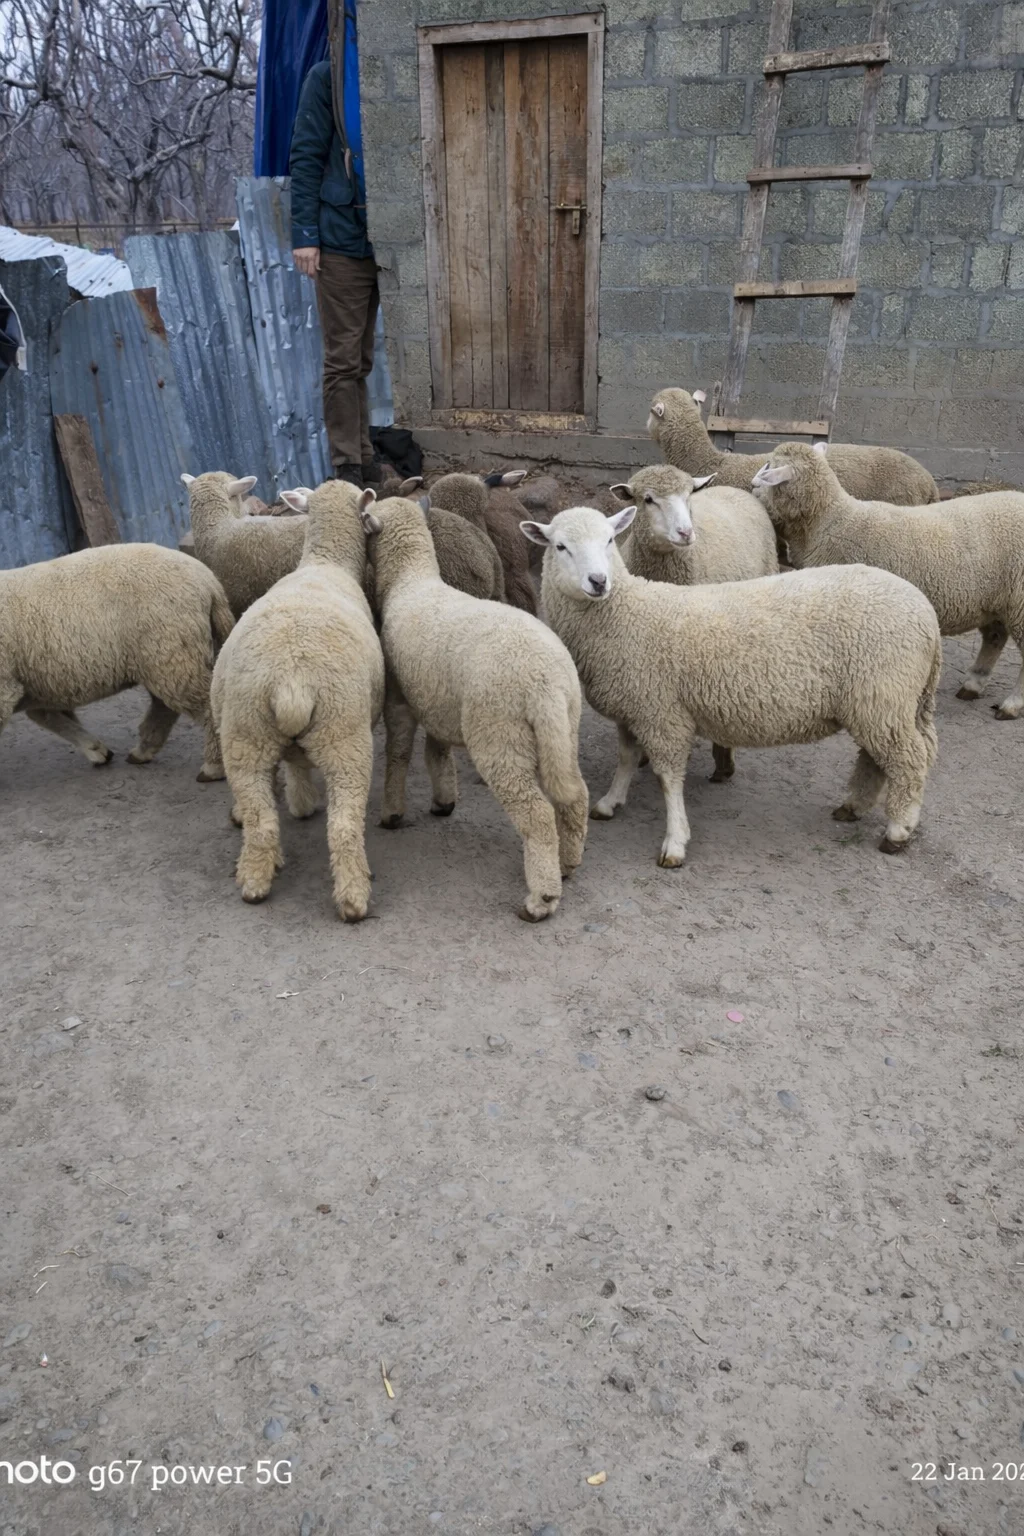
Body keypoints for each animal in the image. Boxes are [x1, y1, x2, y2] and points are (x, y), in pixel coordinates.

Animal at [0, 543, 233, 780]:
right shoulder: (37, 684)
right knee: (165, 705)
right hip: (162, 654)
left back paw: (213, 766)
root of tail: (209, 581)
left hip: (169, 647)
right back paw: (143, 750)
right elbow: (49, 717)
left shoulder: (8, 685)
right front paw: (97, 750)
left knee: (204, 702)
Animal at [209, 477, 385, 919]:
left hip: (246, 735)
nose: (375, 525)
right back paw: (354, 898)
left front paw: (300, 802)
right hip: (345, 738)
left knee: (261, 820)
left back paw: (255, 881)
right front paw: (304, 803)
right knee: (344, 827)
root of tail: (291, 683)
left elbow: (294, 763)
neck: (326, 562)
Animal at [369, 494, 589, 922]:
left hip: (499, 733)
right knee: (575, 795)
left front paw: (392, 812)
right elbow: (436, 750)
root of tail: (545, 682)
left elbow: (399, 751)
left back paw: (541, 899)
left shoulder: (400, 696)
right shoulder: (437, 695)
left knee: (537, 815)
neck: (411, 580)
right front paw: (443, 800)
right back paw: (567, 864)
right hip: (564, 728)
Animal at [523, 505, 941, 862]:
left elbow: (668, 778)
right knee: (878, 759)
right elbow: (625, 758)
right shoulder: (635, 705)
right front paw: (610, 802)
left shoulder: (662, 712)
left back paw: (898, 831)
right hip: (881, 702)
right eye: (560, 546)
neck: (624, 613)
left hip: (883, 695)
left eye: (610, 540)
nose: (598, 581)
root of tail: (924, 612)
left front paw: (675, 841)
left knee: (909, 759)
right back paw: (853, 807)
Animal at [752, 440, 1024, 720]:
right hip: (996, 601)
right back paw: (973, 684)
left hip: (1019, 600)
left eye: (770, 467)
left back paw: (1011, 705)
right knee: (994, 638)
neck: (829, 523)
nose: (751, 487)